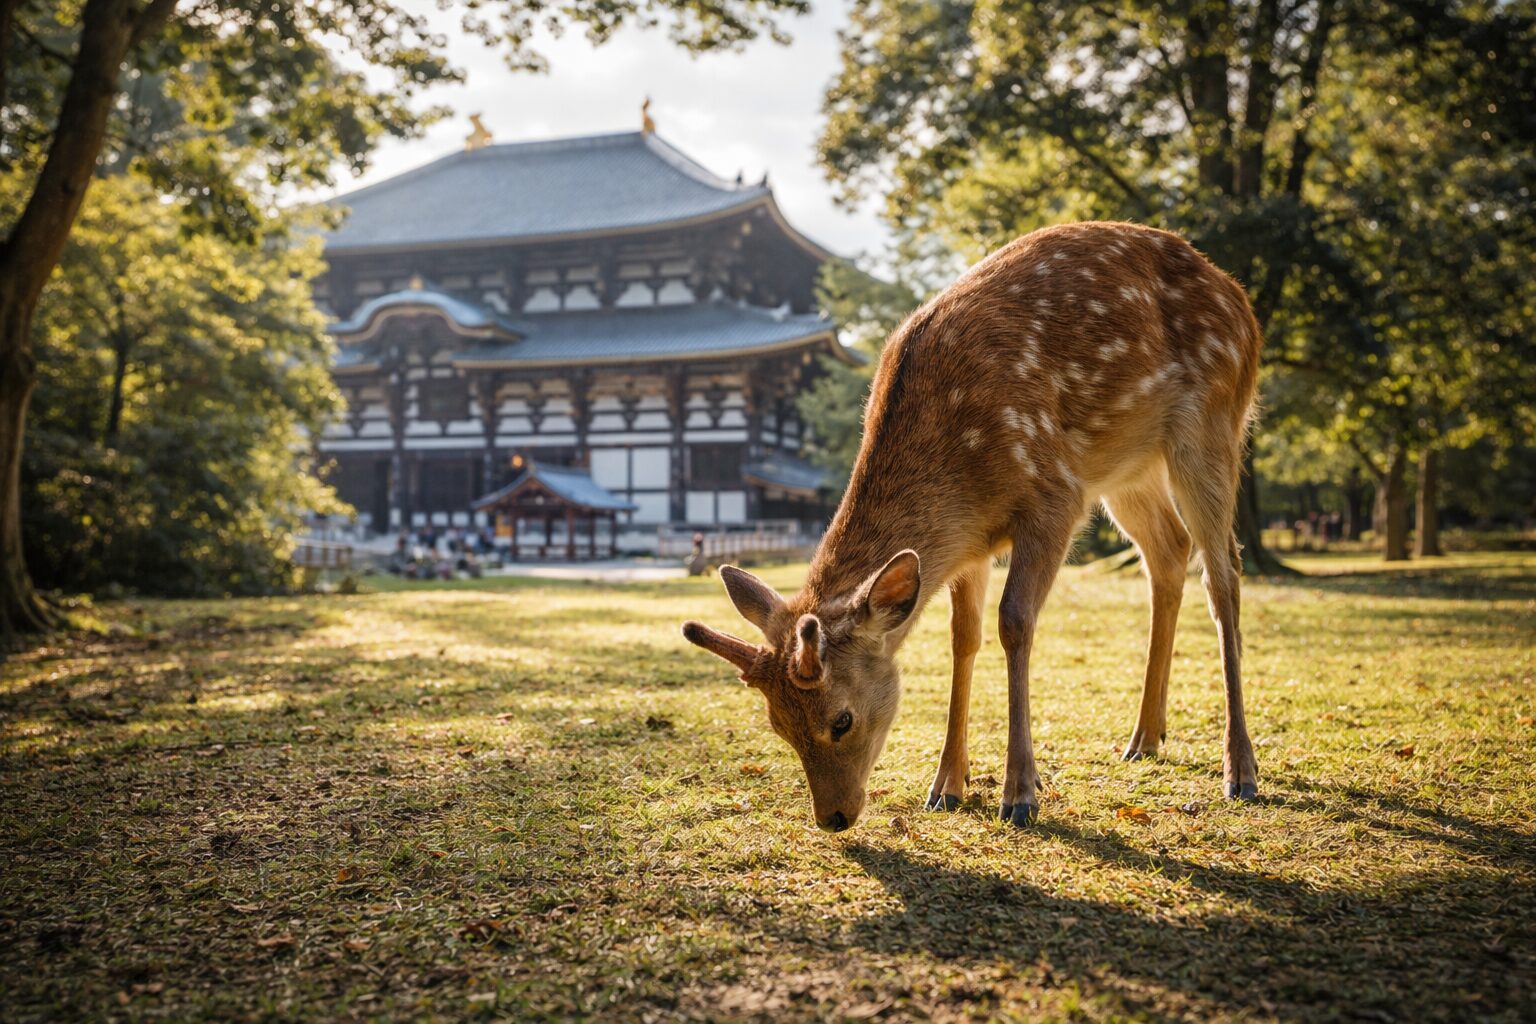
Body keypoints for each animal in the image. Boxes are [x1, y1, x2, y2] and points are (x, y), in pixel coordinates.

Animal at [682, 221, 1261, 831]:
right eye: (778, 725)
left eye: (841, 720)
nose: (833, 817)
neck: (960, 477)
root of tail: (1239, 297)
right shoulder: (969, 542)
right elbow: (963, 640)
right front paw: (946, 786)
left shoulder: (1054, 496)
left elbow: (1014, 623)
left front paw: (1021, 792)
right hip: (1127, 468)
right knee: (1170, 550)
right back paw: (1145, 737)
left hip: (1212, 423)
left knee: (1222, 570)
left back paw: (1240, 770)